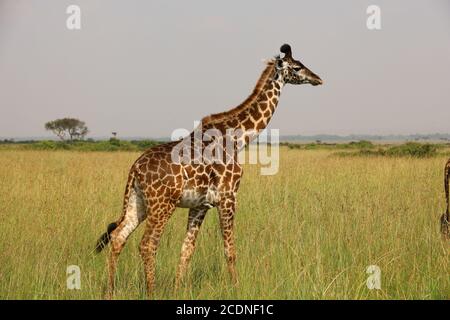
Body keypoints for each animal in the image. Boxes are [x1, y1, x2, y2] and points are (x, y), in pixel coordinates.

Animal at [95, 43, 322, 298]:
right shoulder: (228, 197)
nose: (318, 78)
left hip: (138, 202)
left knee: (118, 237)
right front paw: (237, 289)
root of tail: (135, 169)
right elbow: (229, 250)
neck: (238, 139)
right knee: (147, 244)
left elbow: (187, 249)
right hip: (162, 204)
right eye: (297, 67)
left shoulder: (200, 205)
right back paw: (150, 292)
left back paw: (110, 291)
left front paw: (178, 290)